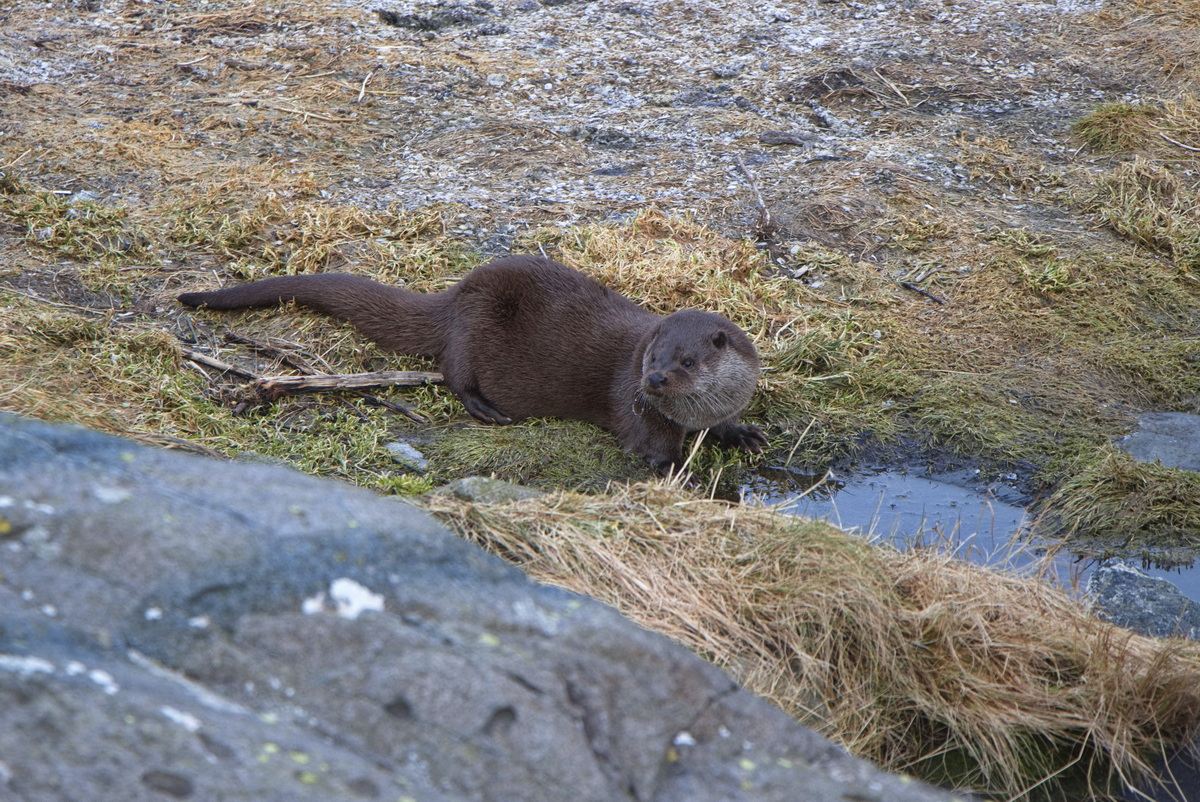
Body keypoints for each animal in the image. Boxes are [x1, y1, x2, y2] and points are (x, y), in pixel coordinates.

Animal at [177, 255, 763, 470]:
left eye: (686, 359)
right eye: (652, 357)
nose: (655, 378)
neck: (693, 414)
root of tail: (454, 294)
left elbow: (725, 425)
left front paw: (742, 433)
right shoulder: (636, 408)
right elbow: (652, 451)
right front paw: (681, 474)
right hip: (471, 327)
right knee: (453, 372)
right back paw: (484, 408)